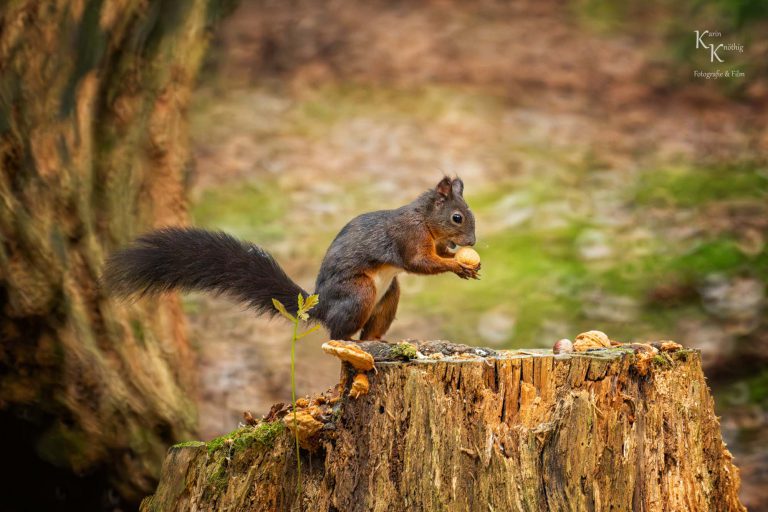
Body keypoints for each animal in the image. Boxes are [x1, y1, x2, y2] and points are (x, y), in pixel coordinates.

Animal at [103, 176, 479, 341]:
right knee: (337, 336)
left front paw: (459, 261)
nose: (473, 242)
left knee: (366, 332)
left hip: (388, 297)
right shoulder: (407, 238)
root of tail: (322, 306)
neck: (424, 219)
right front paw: (457, 263)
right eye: (457, 217)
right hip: (359, 293)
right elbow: (418, 262)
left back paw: (379, 342)